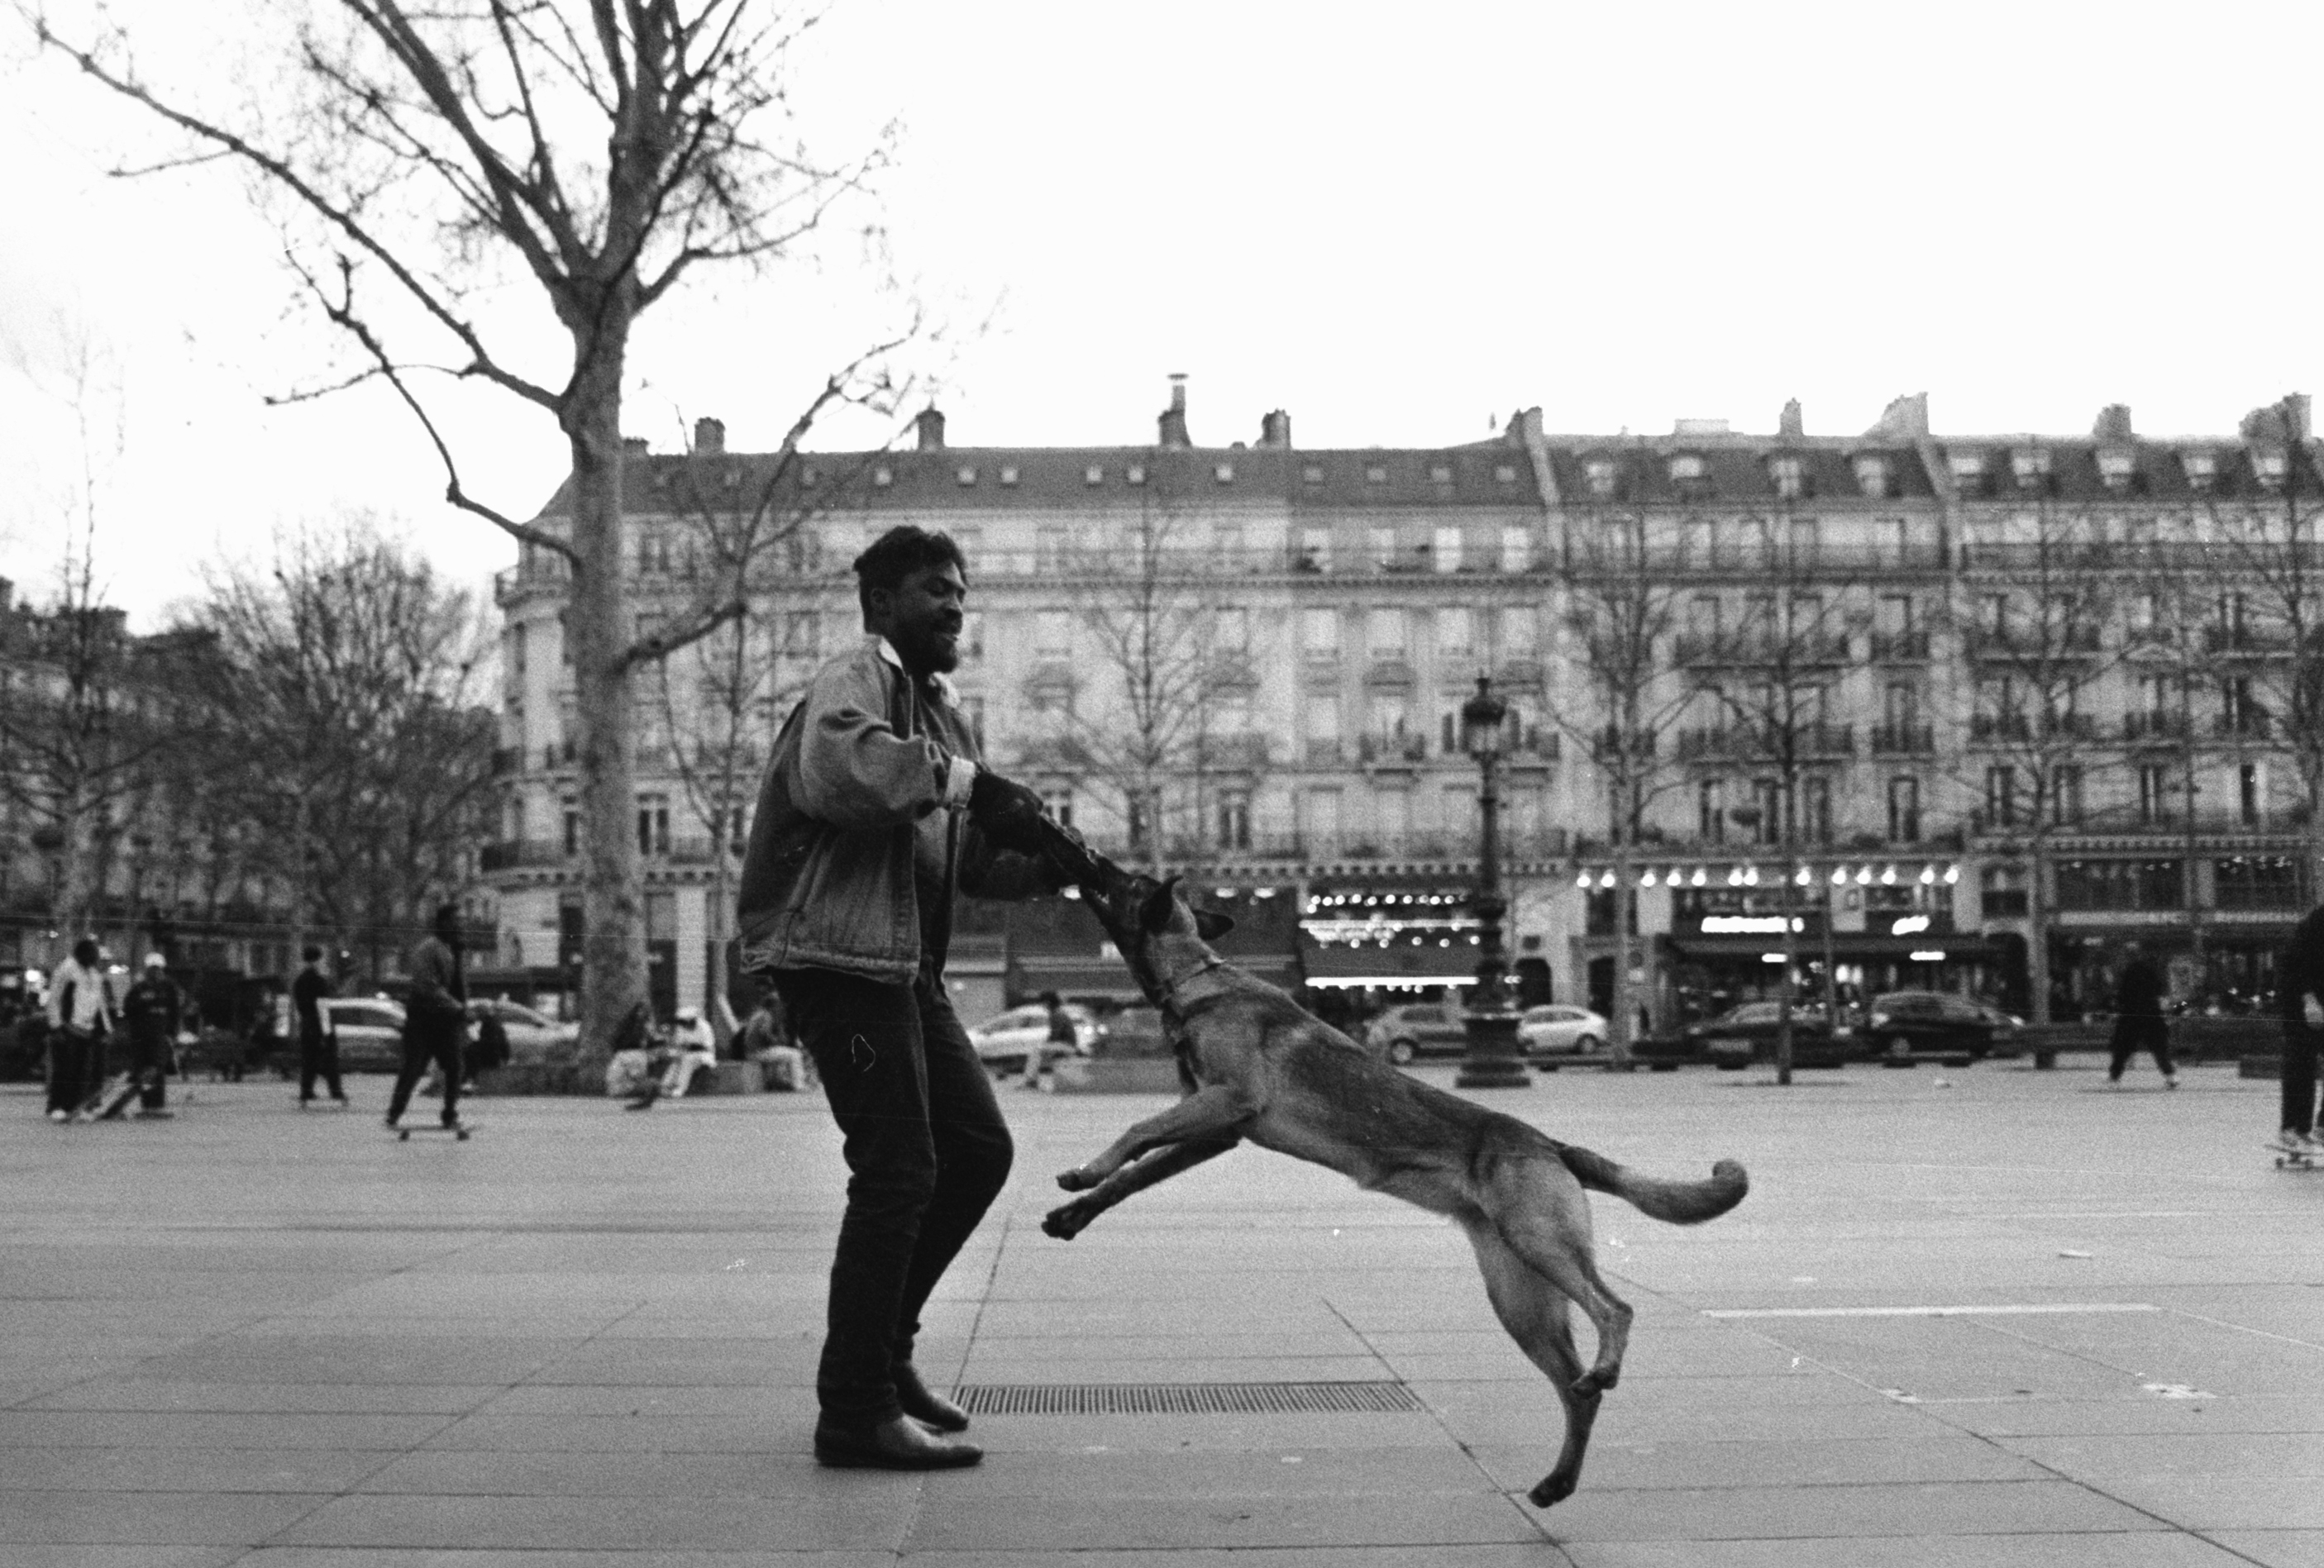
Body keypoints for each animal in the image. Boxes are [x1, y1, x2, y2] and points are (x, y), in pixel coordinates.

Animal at [1036, 841, 1747, 1514]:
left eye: (1121, 878)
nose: (1080, 853)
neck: (1193, 977)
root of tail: (1550, 1144)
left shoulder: (1228, 1102)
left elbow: (1138, 1129)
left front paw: (1086, 1169)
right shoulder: (1212, 1130)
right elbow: (1135, 1170)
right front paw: (1080, 1206)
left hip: (1539, 1242)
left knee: (1615, 1308)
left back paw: (1604, 1370)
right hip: (1519, 1296)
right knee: (1574, 1391)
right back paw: (1558, 1476)